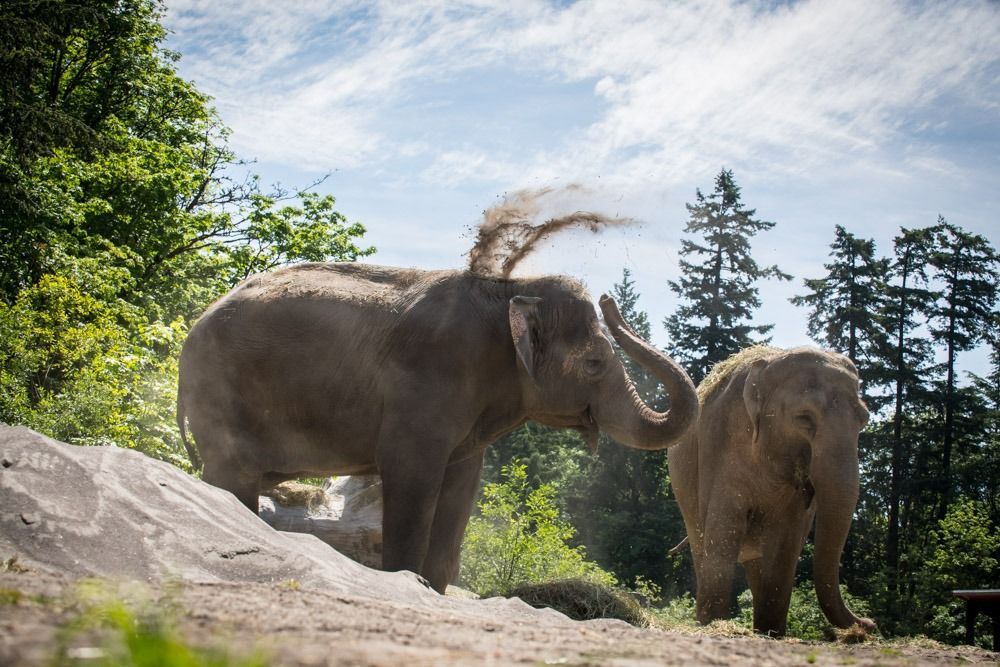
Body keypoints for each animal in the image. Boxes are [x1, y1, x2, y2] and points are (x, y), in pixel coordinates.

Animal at [178, 264, 696, 592]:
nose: (610, 299)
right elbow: (410, 480)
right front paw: (406, 582)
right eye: (594, 364)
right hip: (222, 397)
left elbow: (460, 492)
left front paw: (432, 587)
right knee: (231, 481)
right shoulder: (427, 382)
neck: (512, 288)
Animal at [672, 344, 876, 636]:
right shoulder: (717, 443)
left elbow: (786, 543)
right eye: (804, 418)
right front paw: (714, 623)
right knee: (702, 544)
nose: (869, 623)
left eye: (864, 419)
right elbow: (723, 529)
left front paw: (771, 631)